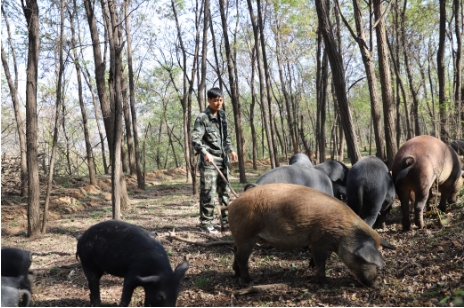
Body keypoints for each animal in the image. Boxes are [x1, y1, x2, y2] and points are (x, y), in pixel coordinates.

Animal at [225, 183, 396, 286]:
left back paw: (235, 275)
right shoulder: (319, 241)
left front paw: (310, 266)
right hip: (246, 235)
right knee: (241, 257)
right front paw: (324, 282)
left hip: (239, 236)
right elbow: (321, 262)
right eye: (363, 259)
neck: (343, 232)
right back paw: (249, 281)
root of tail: (233, 204)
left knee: (234, 251)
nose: (373, 282)